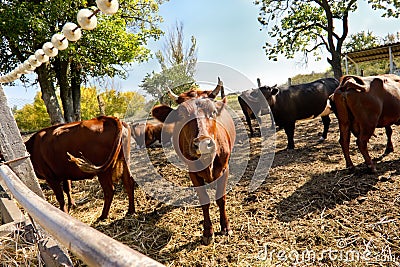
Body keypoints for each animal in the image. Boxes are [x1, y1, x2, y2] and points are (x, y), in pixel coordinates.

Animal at [152, 78, 234, 246]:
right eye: (182, 115)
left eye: (213, 112)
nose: (202, 143)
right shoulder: (193, 173)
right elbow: (204, 200)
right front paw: (207, 231)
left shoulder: (224, 169)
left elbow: (221, 198)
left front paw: (225, 226)